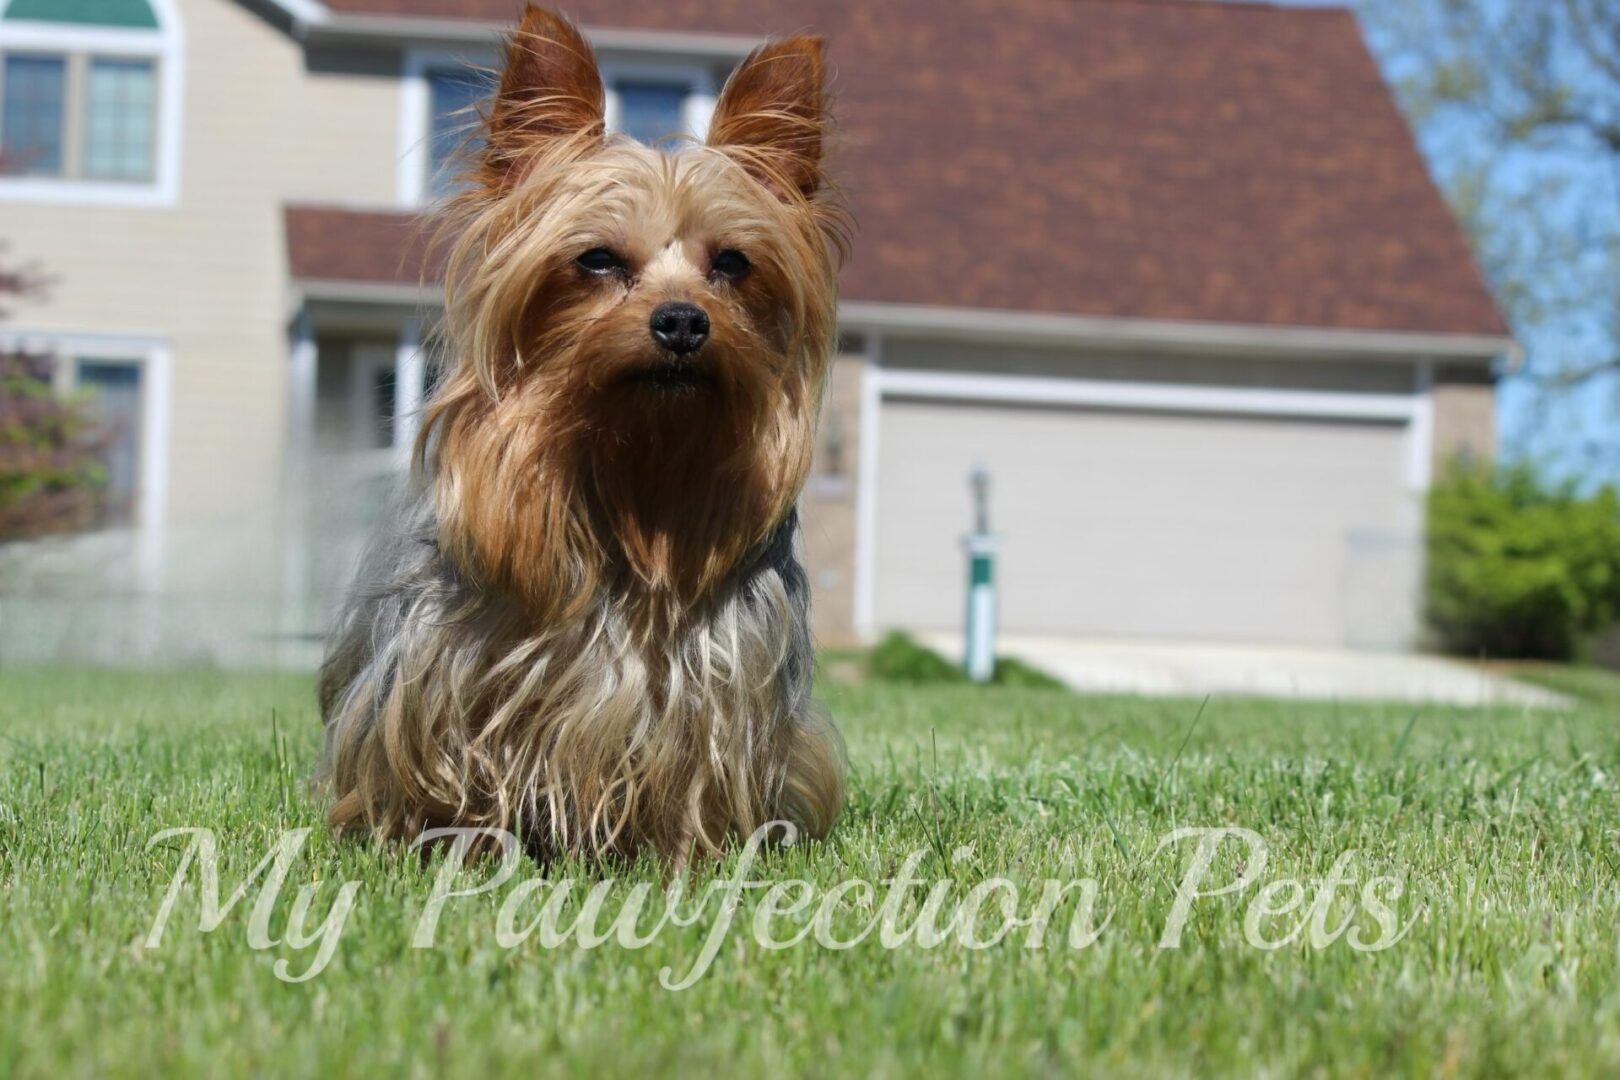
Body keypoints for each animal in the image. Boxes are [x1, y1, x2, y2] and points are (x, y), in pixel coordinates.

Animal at [315, 4, 848, 867]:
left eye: (733, 263)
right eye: (597, 259)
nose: (682, 321)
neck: (628, 459)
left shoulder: (722, 677)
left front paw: (686, 856)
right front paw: (457, 842)